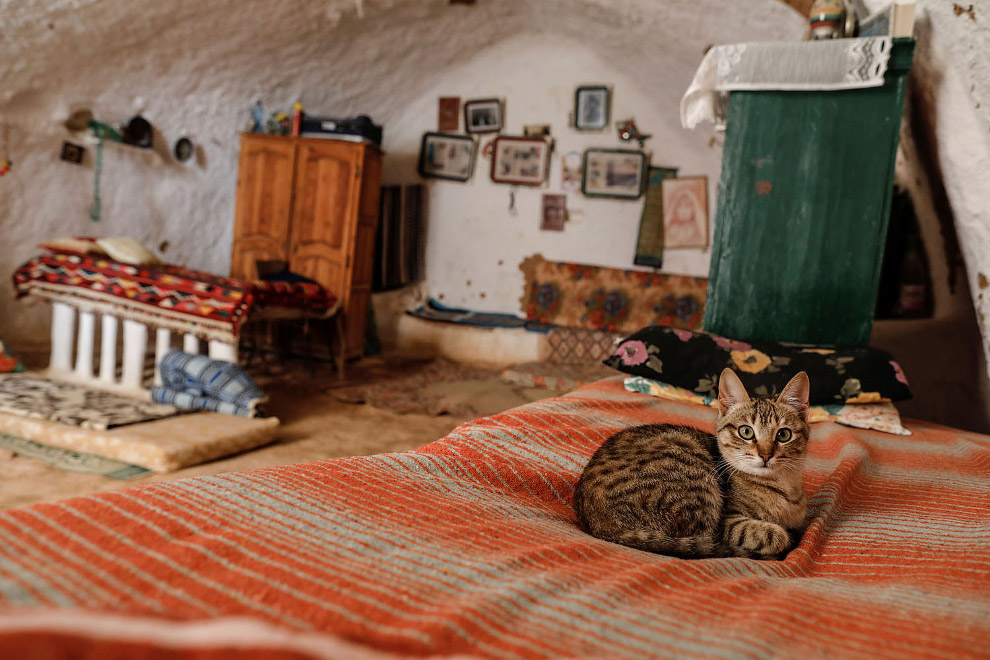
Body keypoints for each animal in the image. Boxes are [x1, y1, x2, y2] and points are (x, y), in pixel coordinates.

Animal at [572, 368, 812, 560]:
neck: (783, 487)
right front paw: (782, 538)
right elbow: (773, 535)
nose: (765, 455)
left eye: (783, 434)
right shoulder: (727, 523)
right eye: (746, 431)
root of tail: (602, 524)